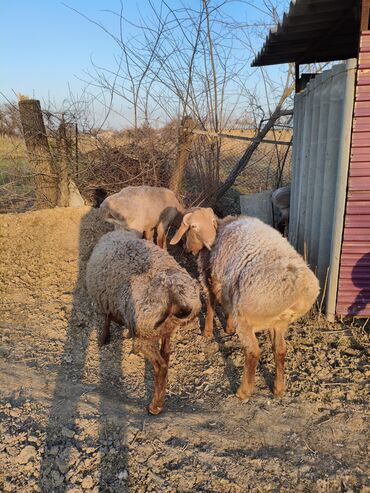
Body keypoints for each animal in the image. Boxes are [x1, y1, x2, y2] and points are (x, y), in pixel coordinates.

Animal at [85, 229, 201, 414]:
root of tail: (173, 294)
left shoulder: (105, 302)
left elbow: (106, 321)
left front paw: (104, 339)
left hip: (145, 332)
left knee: (160, 366)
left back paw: (155, 406)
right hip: (163, 328)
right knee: (166, 353)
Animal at [170, 208, 318, 400]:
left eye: (191, 228)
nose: (187, 247)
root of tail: (298, 290)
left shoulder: (211, 279)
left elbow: (210, 304)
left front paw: (208, 331)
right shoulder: (228, 286)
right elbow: (226, 306)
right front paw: (228, 327)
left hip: (247, 317)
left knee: (253, 352)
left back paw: (243, 391)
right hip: (279, 322)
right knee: (280, 350)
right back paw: (278, 388)